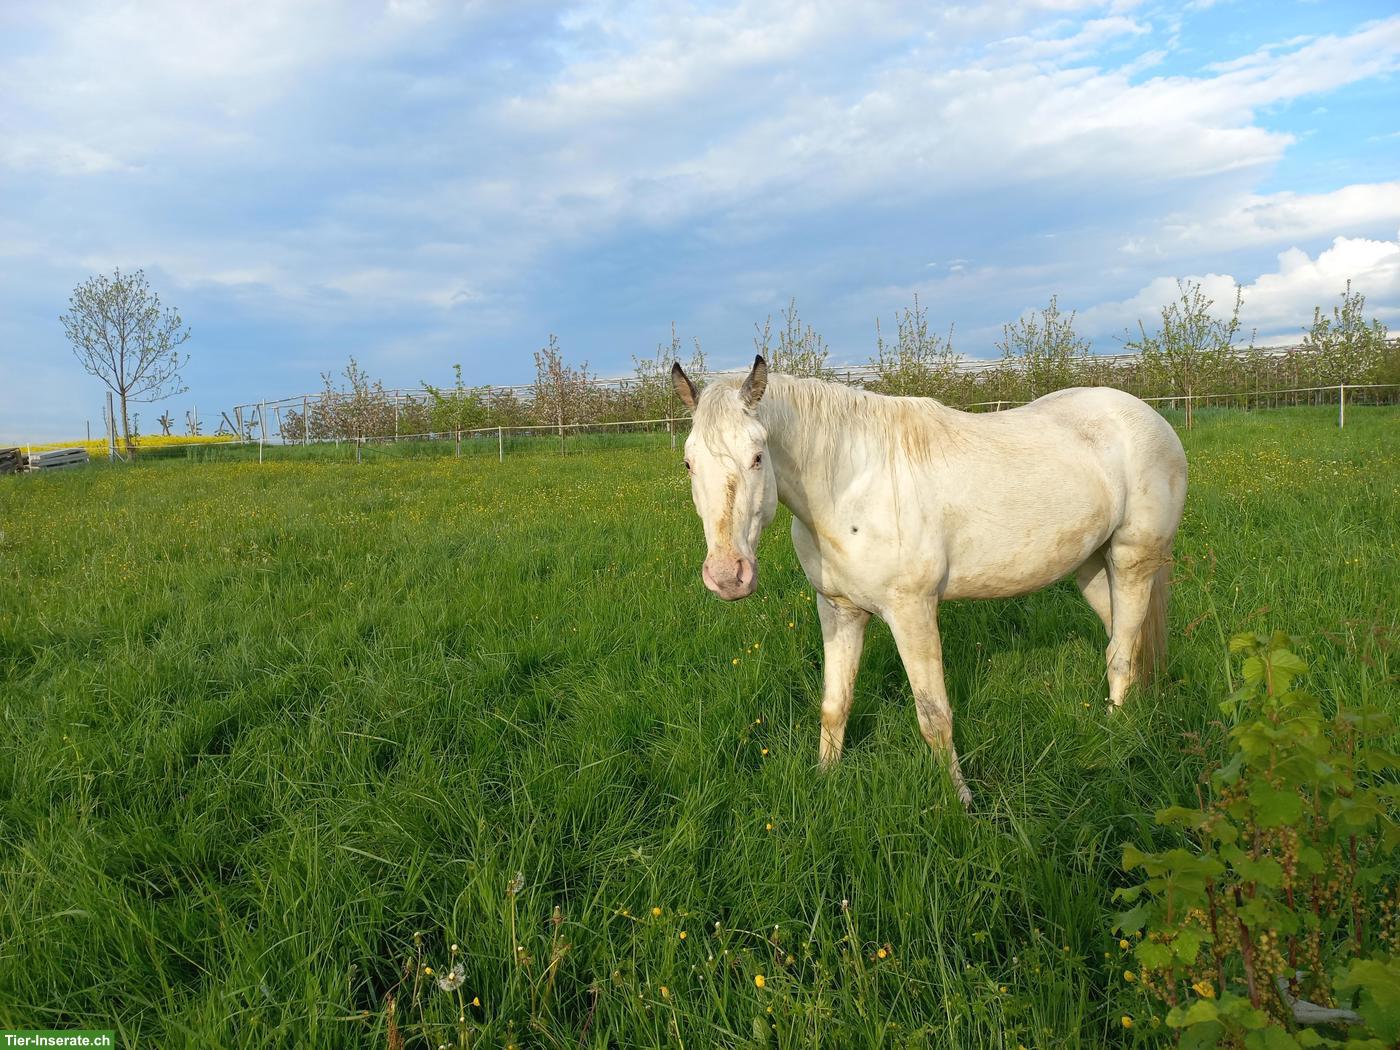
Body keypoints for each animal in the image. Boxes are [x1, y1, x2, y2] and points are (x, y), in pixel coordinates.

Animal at [670, 356, 1187, 804]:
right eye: (689, 463)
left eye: (758, 457)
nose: (727, 576)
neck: (850, 484)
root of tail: (1152, 418)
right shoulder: (838, 609)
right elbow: (835, 705)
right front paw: (825, 782)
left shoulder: (912, 611)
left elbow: (934, 715)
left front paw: (962, 803)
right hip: (1092, 568)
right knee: (1121, 638)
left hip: (1133, 561)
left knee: (1121, 654)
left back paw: (1116, 734)